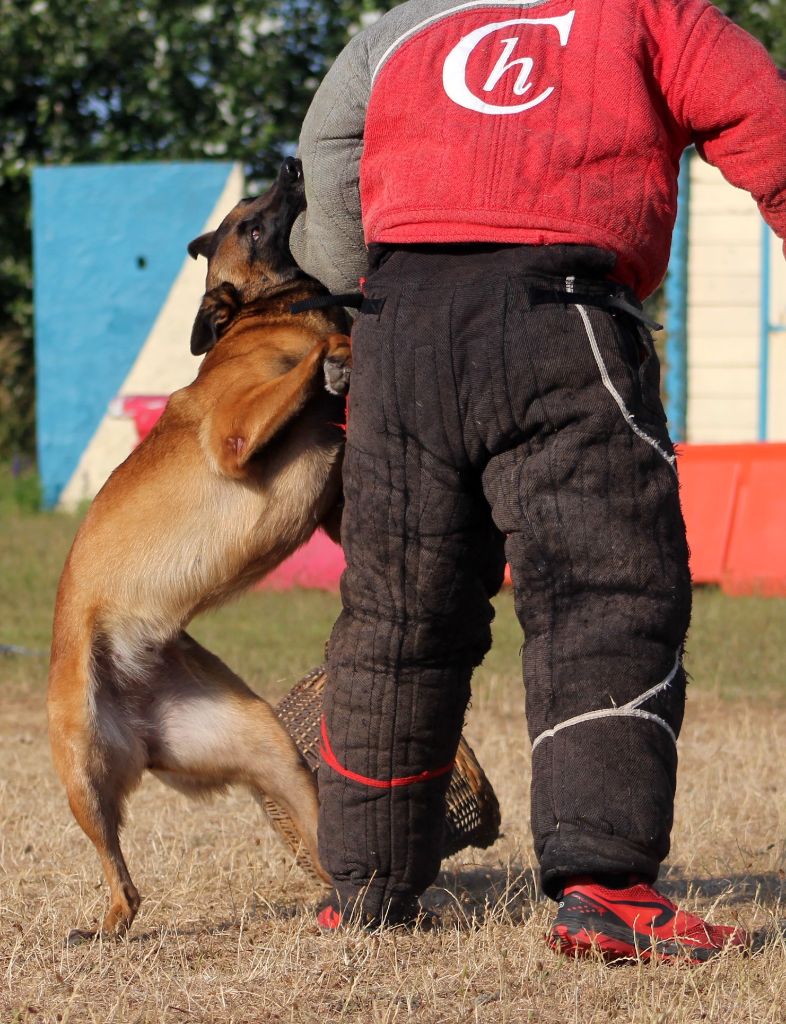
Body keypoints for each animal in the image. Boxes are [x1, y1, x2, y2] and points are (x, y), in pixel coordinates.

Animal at [49, 155, 352, 937]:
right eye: (249, 222)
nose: (291, 162)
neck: (265, 317)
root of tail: (141, 725)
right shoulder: (234, 434)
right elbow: (314, 358)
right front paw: (336, 350)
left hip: (267, 745)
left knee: (313, 835)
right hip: (79, 762)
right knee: (122, 882)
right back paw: (106, 925)